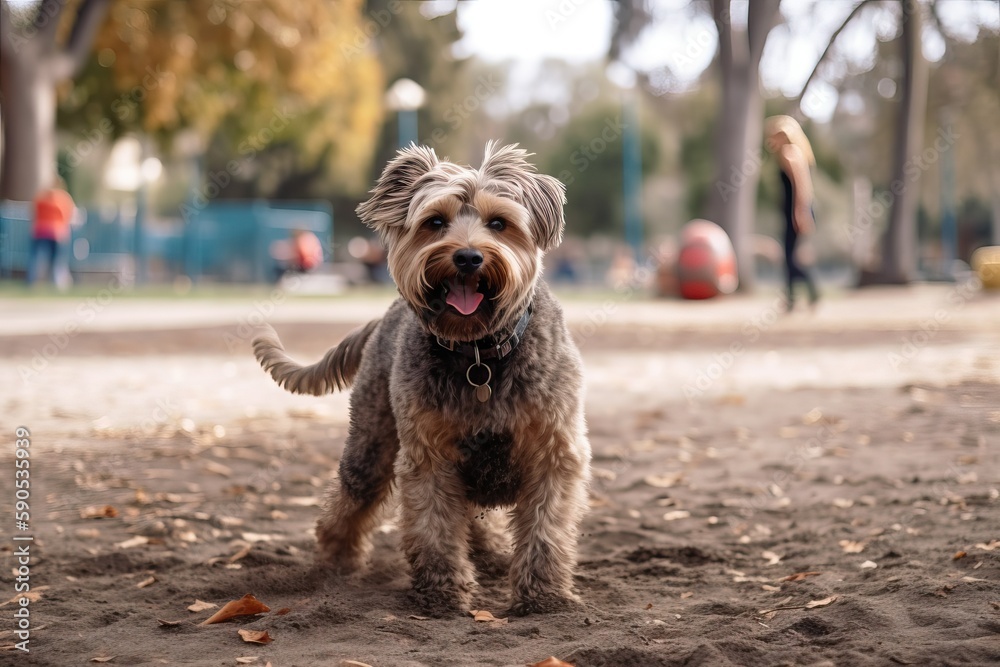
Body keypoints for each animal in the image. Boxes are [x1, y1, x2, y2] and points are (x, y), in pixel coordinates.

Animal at [254, 142, 588, 616]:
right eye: (435, 222)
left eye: (498, 223)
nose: (468, 257)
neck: (479, 355)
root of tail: (385, 317)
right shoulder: (428, 455)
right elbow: (434, 526)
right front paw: (442, 593)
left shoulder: (553, 453)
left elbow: (546, 531)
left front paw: (544, 596)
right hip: (370, 445)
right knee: (348, 503)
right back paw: (336, 561)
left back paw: (492, 554)